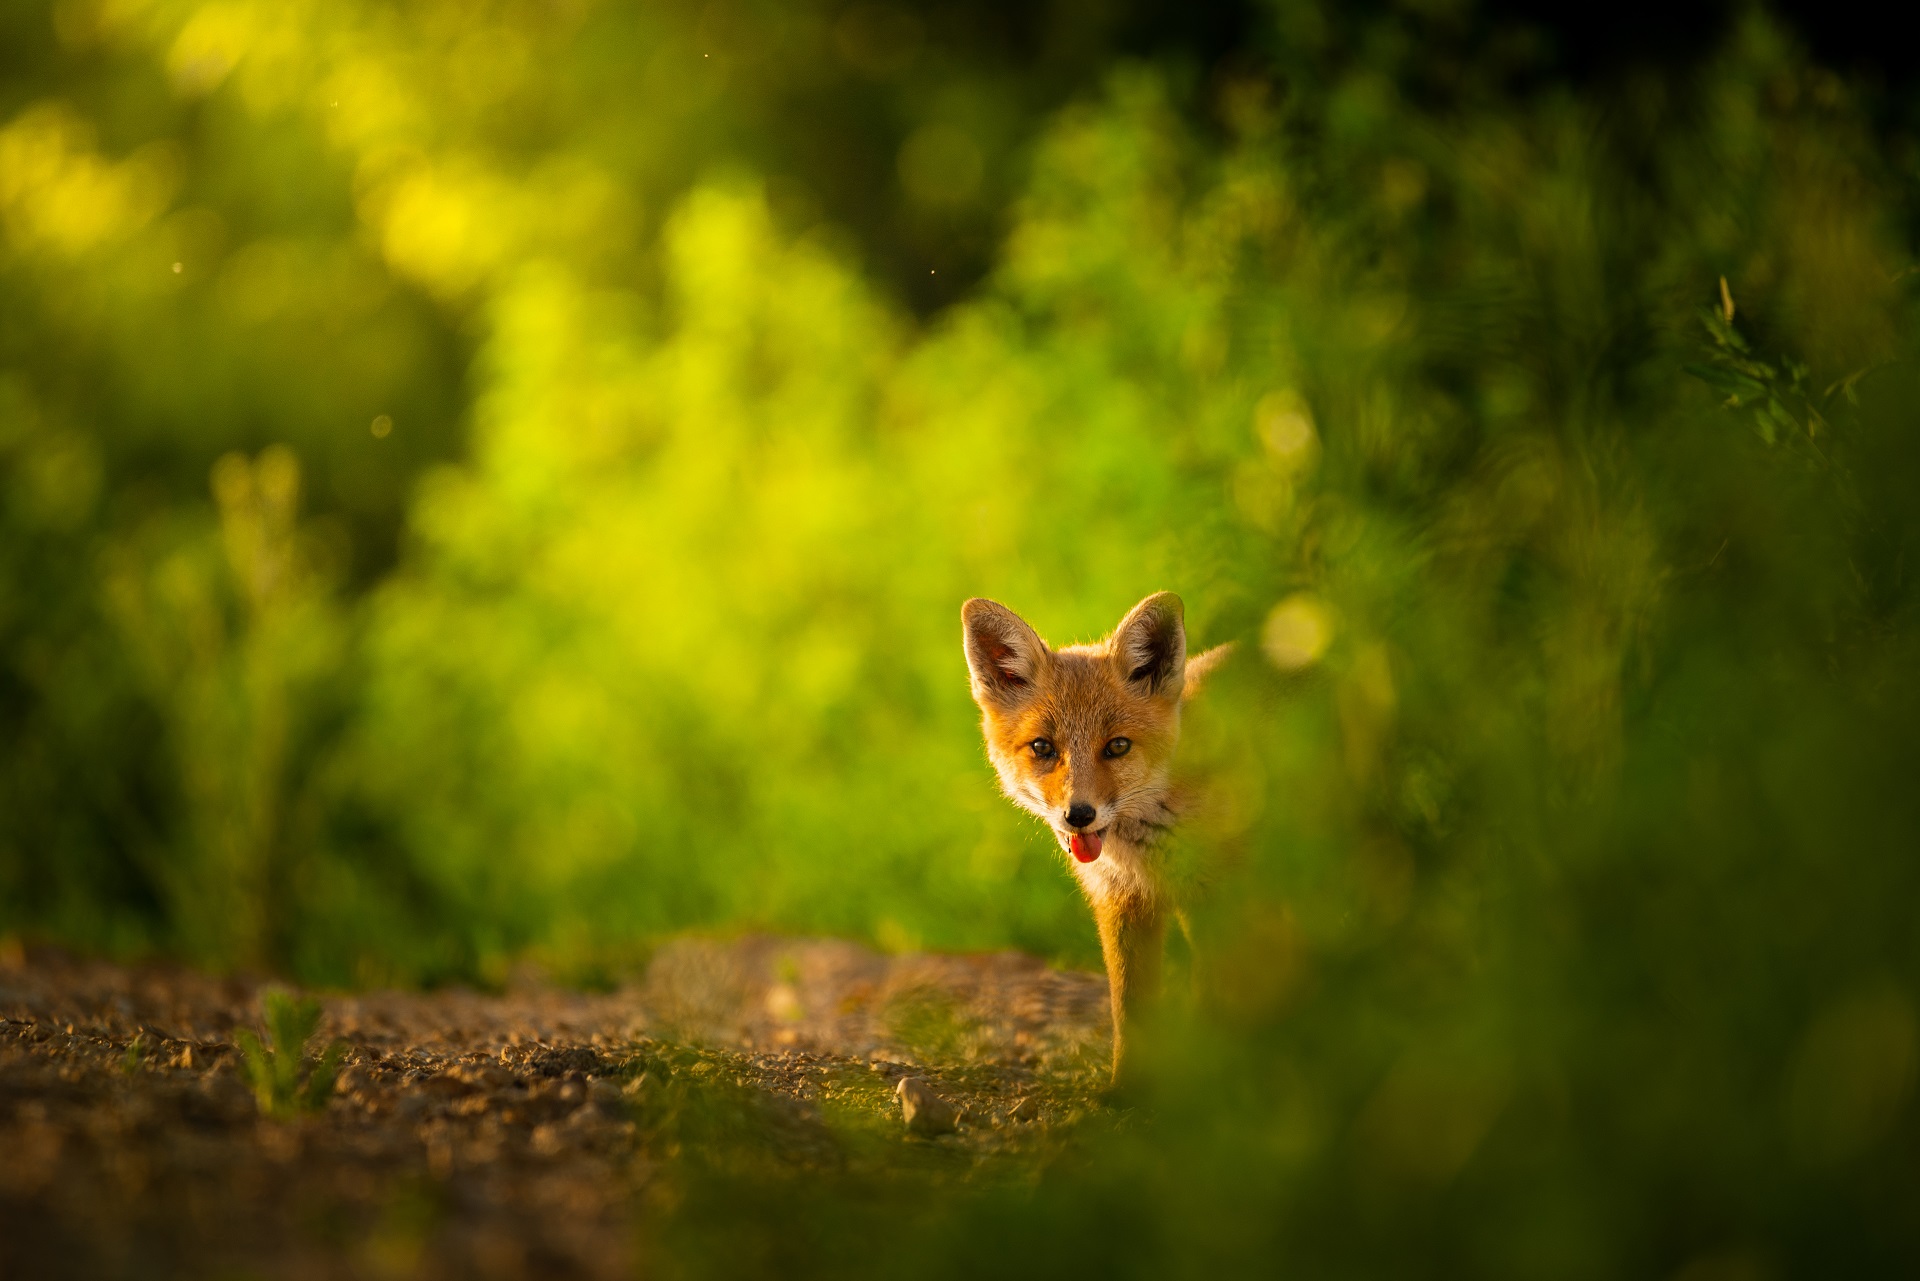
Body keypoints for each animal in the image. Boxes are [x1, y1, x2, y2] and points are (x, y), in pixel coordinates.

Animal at [962, 591, 1232, 1085]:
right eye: (1043, 748)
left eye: (1117, 747)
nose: (1079, 815)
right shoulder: (1122, 901)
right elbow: (1131, 1013)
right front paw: (1127, 1090)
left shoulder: (1218, 898)